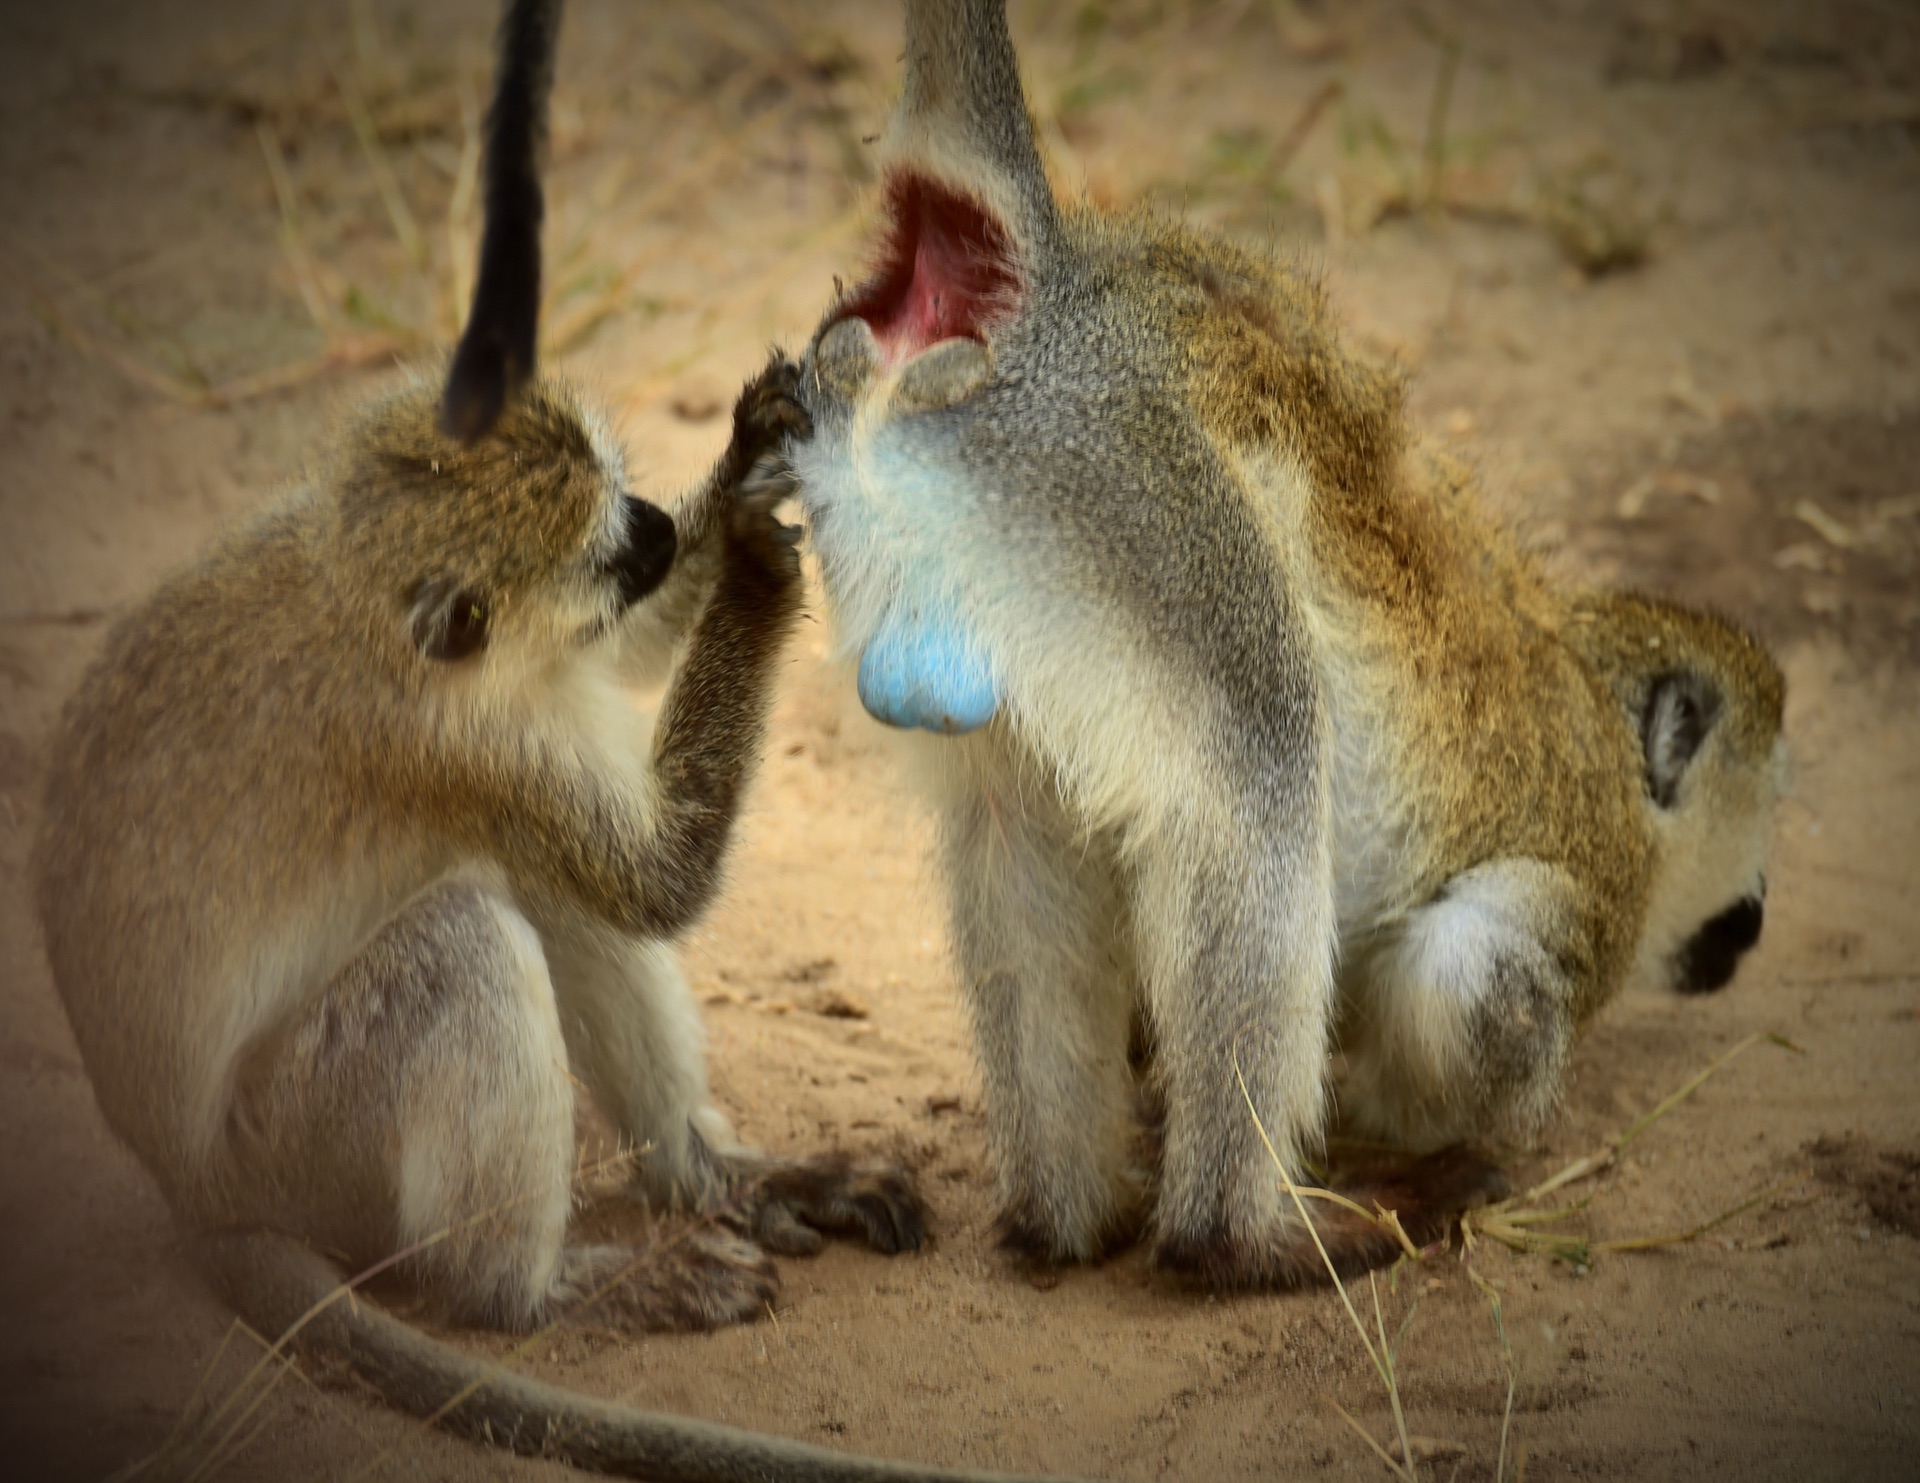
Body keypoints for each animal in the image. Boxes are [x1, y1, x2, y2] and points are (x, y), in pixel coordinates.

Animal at [30, 2, 1090, 1483]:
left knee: (548, 899)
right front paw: (754, 562)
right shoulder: (464, 743)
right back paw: (538, 1292)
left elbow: (627, 691)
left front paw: (755, 455)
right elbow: (655, 878)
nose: (649, 528)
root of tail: (185, 1182)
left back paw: (725, 1180)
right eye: (602, 543)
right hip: (296, 1140)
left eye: (624, 497)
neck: (360, 598)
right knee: (471, 933)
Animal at [783, 0, 1781, 1283]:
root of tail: (1029, 294)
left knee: (1012, 822)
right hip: (1132, 485)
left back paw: (1069, 1216)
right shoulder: (1592, 905)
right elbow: (1479, 1001)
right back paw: (1242, 1231)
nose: (1754, 920)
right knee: (1258, 763)